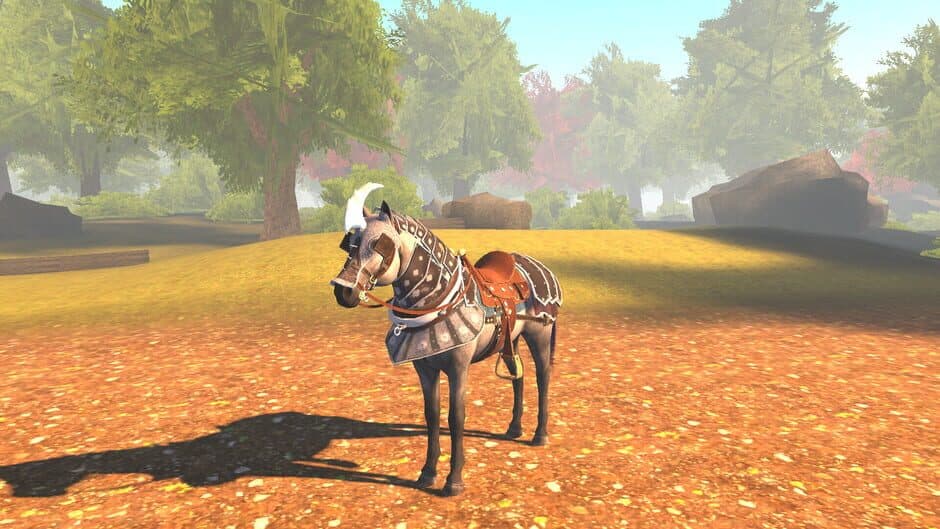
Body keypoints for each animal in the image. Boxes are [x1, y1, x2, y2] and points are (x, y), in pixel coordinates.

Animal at [329, 183, 562, 497]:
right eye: (350, 243)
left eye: (380, 244)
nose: (343, 291)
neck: (438, 300)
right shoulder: (425, 368)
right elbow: (432, 414)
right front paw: (427, 473)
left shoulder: (457, 367)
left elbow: (456, 417)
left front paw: (454, 480)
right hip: (511, 339)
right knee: (518, 376)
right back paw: (514, 428)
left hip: (539, 335)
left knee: (542, 377)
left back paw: (540, 434)